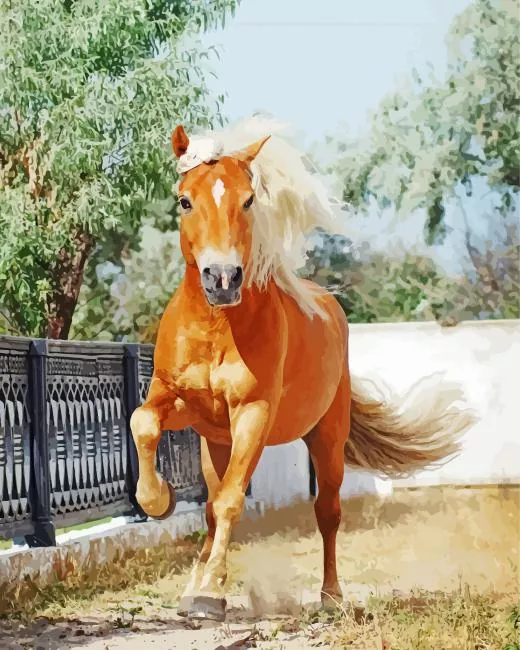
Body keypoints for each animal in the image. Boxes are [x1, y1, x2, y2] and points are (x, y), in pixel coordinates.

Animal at [130, 115, 475, 622]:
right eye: (185, 200)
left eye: (248, 200)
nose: (222, 278)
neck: (217, 327)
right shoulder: (178, 400)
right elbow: (144, 425)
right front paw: (159, 502)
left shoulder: (253, 413)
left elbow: (232, 501)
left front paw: (212, 592)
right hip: (216, 442)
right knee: (211, 505)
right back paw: (194, 584)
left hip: (326, 439)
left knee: (326, 512)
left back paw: (330, 596)